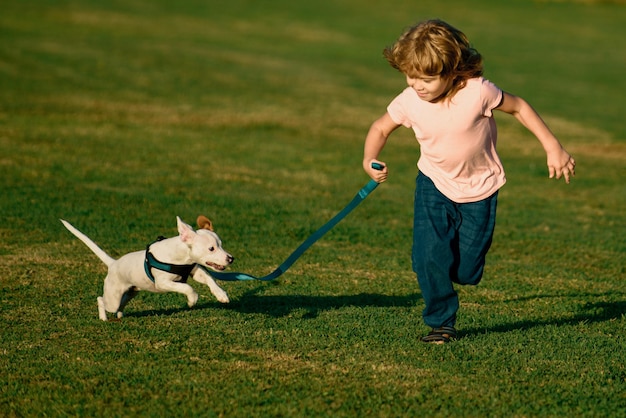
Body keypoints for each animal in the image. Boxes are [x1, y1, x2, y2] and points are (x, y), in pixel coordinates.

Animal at [61, 216, 232, 320]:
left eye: (221, 245)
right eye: (211, 248)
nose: (231, 259)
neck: (180, 257)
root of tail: (113, 264)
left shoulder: (195, 271)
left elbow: (210, 279)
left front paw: (221, 295)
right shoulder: (162, 283)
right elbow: (187, 287)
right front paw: (192, 300)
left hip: (131, 292)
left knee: (121, 303)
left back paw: (120, 315)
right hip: (112, 297)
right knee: (101, 299)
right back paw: (103, 318)